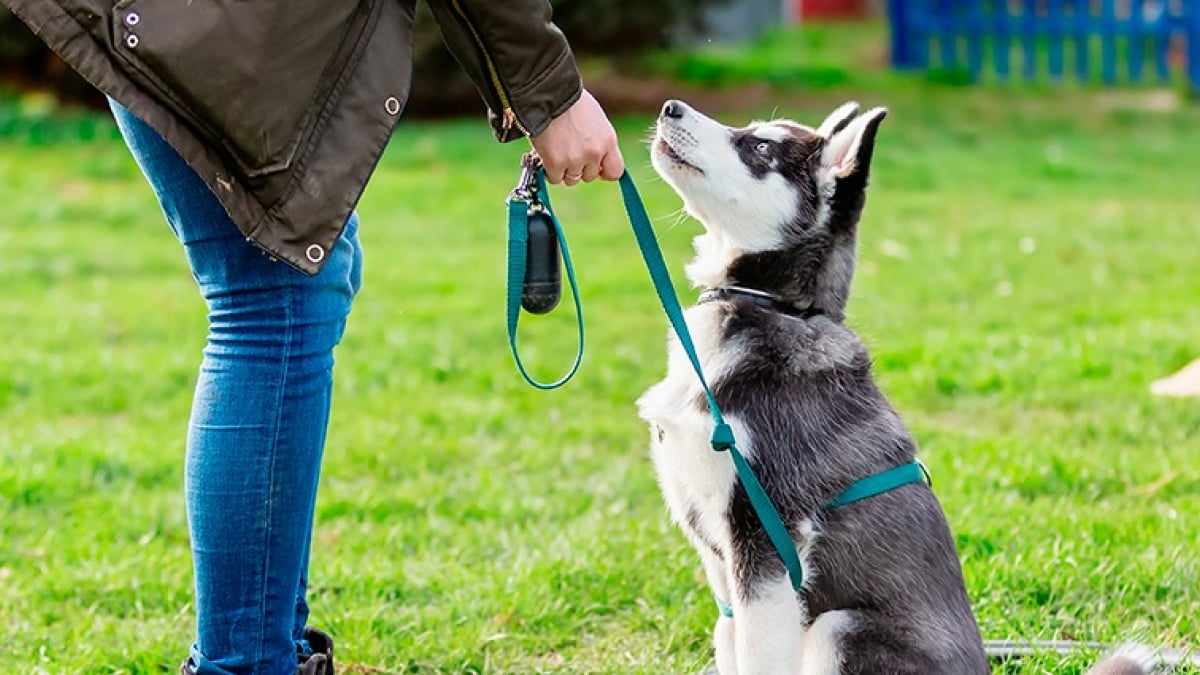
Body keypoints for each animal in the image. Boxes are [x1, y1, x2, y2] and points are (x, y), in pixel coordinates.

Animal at [638, 99, 1152, 672]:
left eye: (761, 147)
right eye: (749, 131)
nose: (670, 107)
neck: (773, 306)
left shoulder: (769, 542)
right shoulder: (728, 571)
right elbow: (730, 642)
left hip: (838, 626)